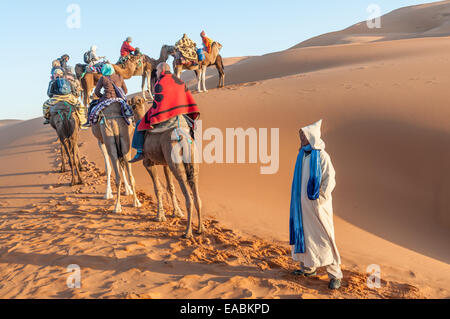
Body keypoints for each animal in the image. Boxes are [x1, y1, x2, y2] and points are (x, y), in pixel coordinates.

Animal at [128, 96, 202, 239]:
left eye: (131, 105)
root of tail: (182, 138)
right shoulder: (165, 164)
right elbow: (170, 187)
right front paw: (176, 213)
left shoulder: (148, 163)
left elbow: (158, 188)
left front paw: (160, 217)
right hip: (191, 161)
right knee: (197, 195)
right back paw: (201, 229)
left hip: (175, 160)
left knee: (188, 196)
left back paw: (187, 232)